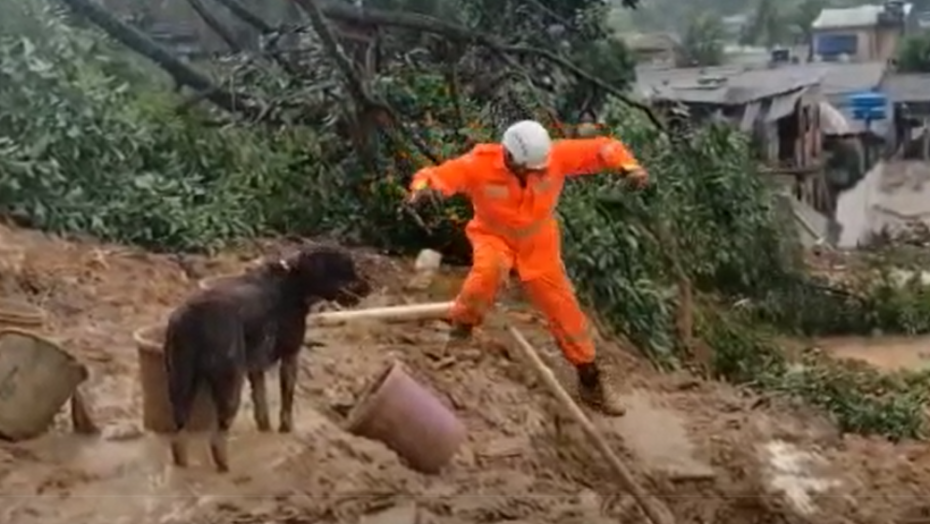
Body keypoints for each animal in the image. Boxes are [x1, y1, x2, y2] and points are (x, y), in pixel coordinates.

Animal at [165, 245, 368, 470]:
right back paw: (224, 466)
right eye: (347, 268)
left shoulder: (256, 367)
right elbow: (287, 398)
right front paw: (285, 428)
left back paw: (182, 460)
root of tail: (193, 314)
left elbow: (260, 402)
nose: (367, 287)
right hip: (230, 382)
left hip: (180, 382)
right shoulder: (290, 356)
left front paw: (266, 428)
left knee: (179, 429)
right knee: (218, 435)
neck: (294, 278)